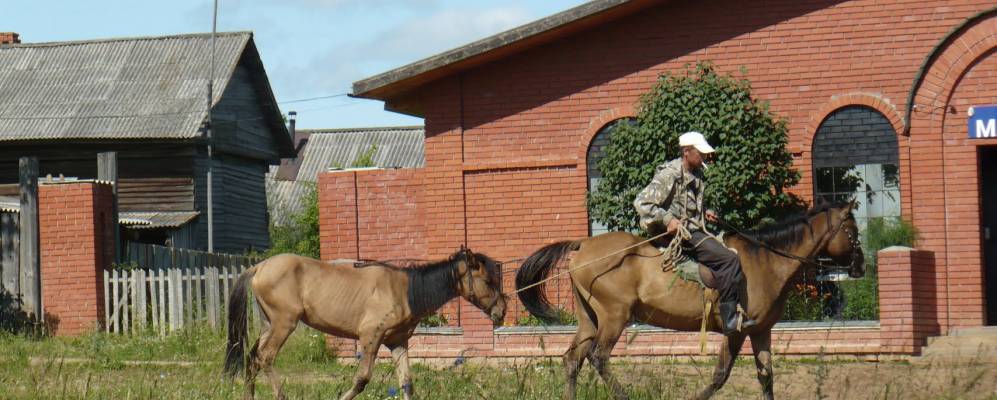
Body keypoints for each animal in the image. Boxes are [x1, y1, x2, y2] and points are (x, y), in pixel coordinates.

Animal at [225, 247, 506, 400]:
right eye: (488, 281)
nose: (501, 311)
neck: (406, 291)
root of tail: (259, 267)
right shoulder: (371, 336)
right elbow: (362, 379)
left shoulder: (397, 342)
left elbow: (407, 382)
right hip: (284, 324)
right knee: (266, 357)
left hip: (269, 325)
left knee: (252, 359)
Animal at [512, 203, 864, 400]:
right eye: (853, 231)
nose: (860, 266)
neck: (764, 261)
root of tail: (583, 245)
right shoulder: (736, 331)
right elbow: (720, 376)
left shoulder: (760, 331)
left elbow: (766, 377)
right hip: (614, 317)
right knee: (598, 358)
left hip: (590, 319)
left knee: (572, 359)